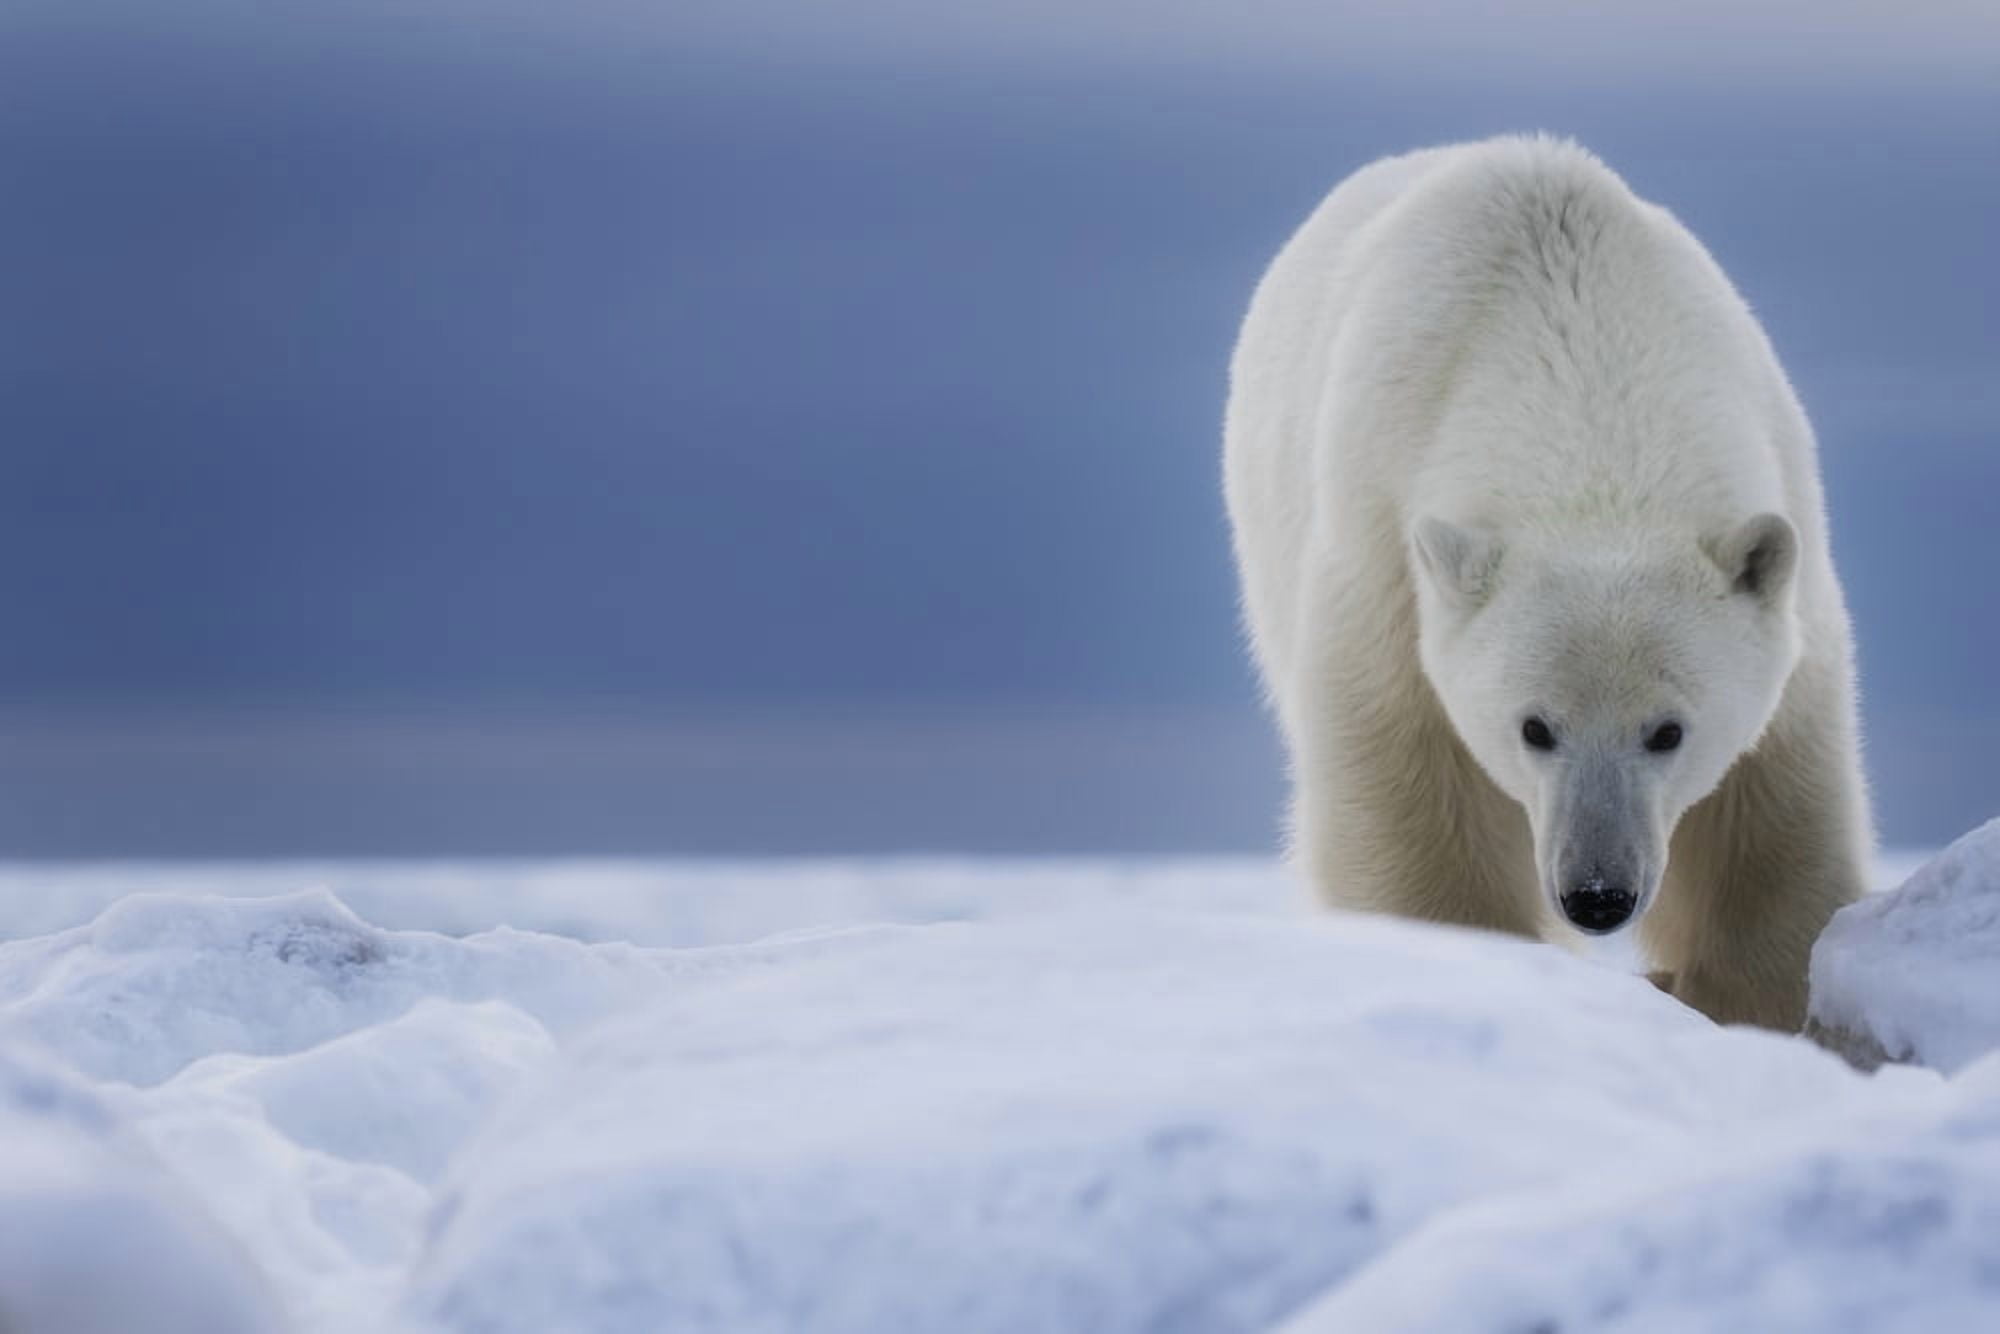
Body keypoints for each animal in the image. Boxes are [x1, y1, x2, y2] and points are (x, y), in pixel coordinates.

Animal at [1223, 135, 1872, 1030]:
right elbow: (1406, 776)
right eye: (1534, 728)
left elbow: (1769, 804)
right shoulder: (1382, 548)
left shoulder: (1782, 541)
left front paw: (1760, 1001)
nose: (1597, 895)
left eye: (1668, 731)